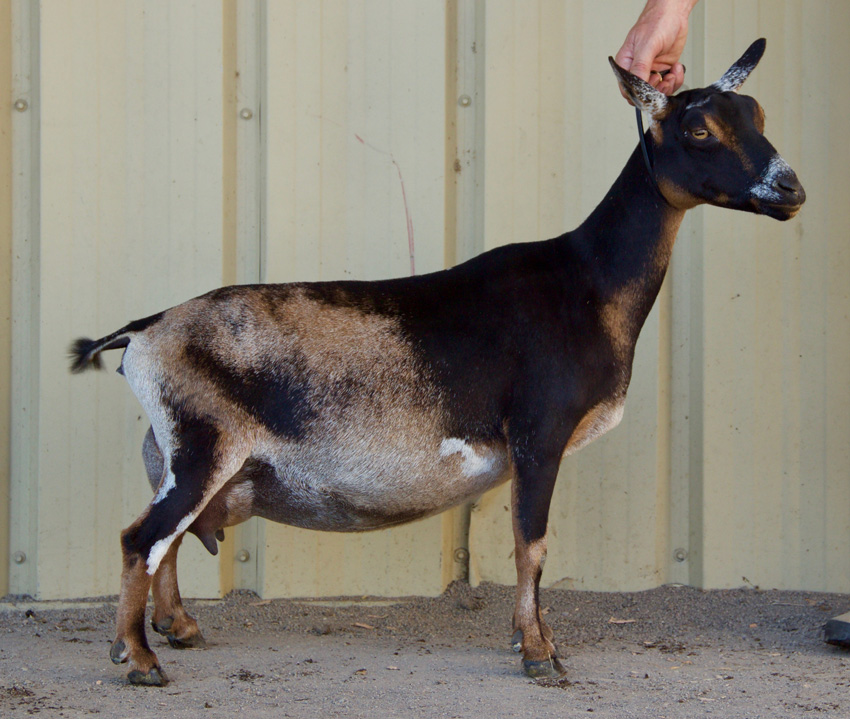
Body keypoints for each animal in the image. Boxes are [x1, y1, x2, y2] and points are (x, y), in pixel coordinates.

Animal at [68, 40, 800, 688]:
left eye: (759, 114)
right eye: (699, 128)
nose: (790, 188)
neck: (586, 281)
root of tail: (143, 331)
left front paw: (536, 639)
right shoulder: (539, 433)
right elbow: (531, 542)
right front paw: (539, 655)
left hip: (177, 451)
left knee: (164, 536)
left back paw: (176, 629)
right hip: (205, 443)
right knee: (142, 537)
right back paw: (140, 661)